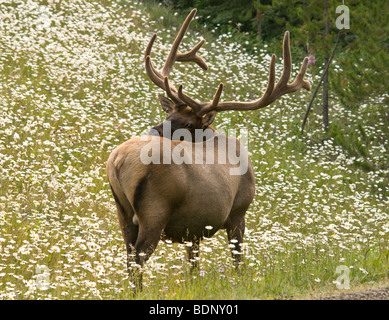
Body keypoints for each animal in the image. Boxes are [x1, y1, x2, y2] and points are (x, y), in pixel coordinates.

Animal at [105, 8, 310, 288]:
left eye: (187, 122)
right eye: (169, 115)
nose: (154, 130)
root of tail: (117, 161)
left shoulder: (193, 226)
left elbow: (193, 265)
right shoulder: (238, 210)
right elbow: (237, 259)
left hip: (123, 212)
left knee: (128, 256)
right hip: (155, 209)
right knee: (138, 258)